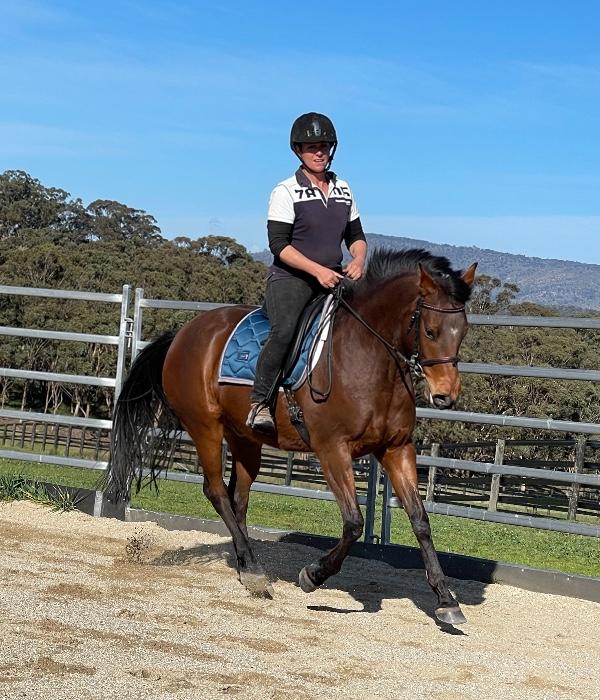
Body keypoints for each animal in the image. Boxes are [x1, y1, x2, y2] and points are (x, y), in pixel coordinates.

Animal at [105, 248, 477, 625]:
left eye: (463, 331)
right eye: (430, 330)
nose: (446, 395)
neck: (368, 357)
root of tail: (184, 333)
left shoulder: (397, 449)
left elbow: (420, 520)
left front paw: (446, 600)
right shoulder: (332, 450)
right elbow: (354, 523)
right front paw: (313, 575)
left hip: (244, 439)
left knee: (237, 499)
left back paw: (246, 566)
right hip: (204, 427)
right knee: (217, 492)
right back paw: (256, 573)